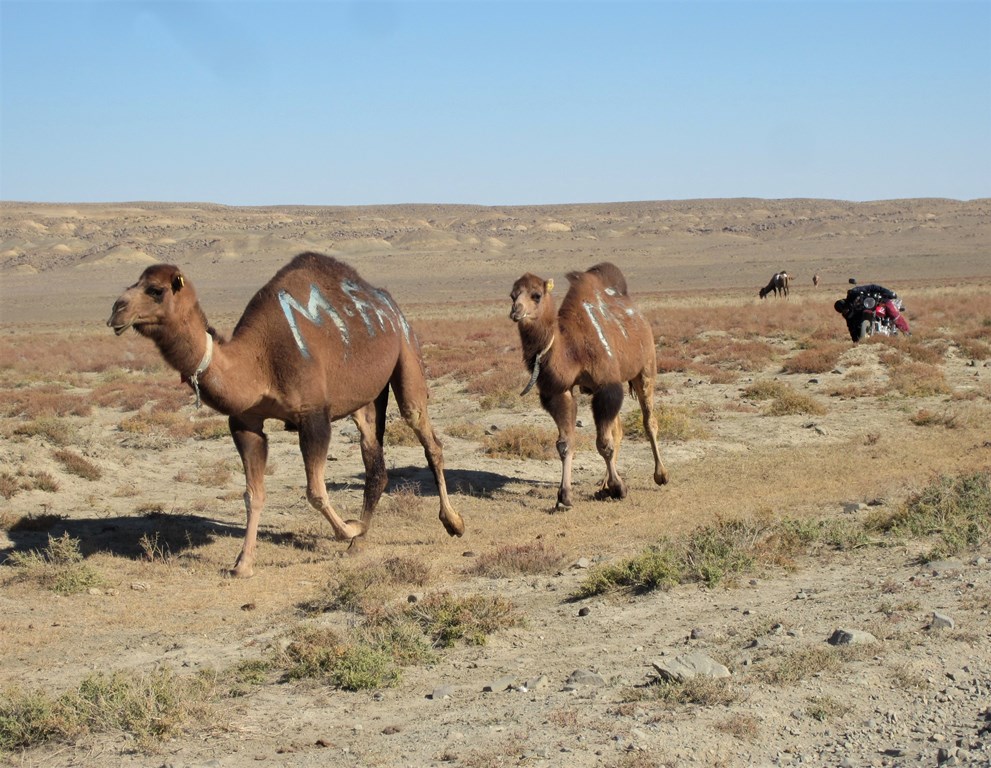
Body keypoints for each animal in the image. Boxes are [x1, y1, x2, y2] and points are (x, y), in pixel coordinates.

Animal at [108, 252, 464, 576]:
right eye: (132, 284)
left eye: (156, 290)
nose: (116, 310)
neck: (258, 363)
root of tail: (388, 304)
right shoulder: (245, 422)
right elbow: (253, 494)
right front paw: (243, 564)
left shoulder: (314, 415)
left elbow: (315, 491)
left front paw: (349, 527)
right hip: (364, 397)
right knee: (373, 457)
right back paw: (359, 542)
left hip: (406, 348)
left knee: (425, 433)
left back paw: (453, 522)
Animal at [512, 262, 668, 510]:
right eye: (512, 294)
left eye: (536, 295)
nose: (516, 311)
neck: (572, 350)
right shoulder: (559, 391)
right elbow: (565, 444)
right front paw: (564, 497)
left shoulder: (607, 385)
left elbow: (603, 442)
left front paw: (618, 488)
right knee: (618, 429)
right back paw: (603, 482)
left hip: (646, 367)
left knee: (648, 421)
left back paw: (660, 474)